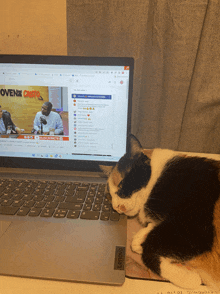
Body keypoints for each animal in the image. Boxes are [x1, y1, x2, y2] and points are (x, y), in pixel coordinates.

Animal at [100, 135, 220, 290]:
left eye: (121, 185)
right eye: (110, 196)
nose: (118, 207)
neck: (158, 178)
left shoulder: (195, 231)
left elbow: (149, 250)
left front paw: (190, 277)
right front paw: (140, 239)